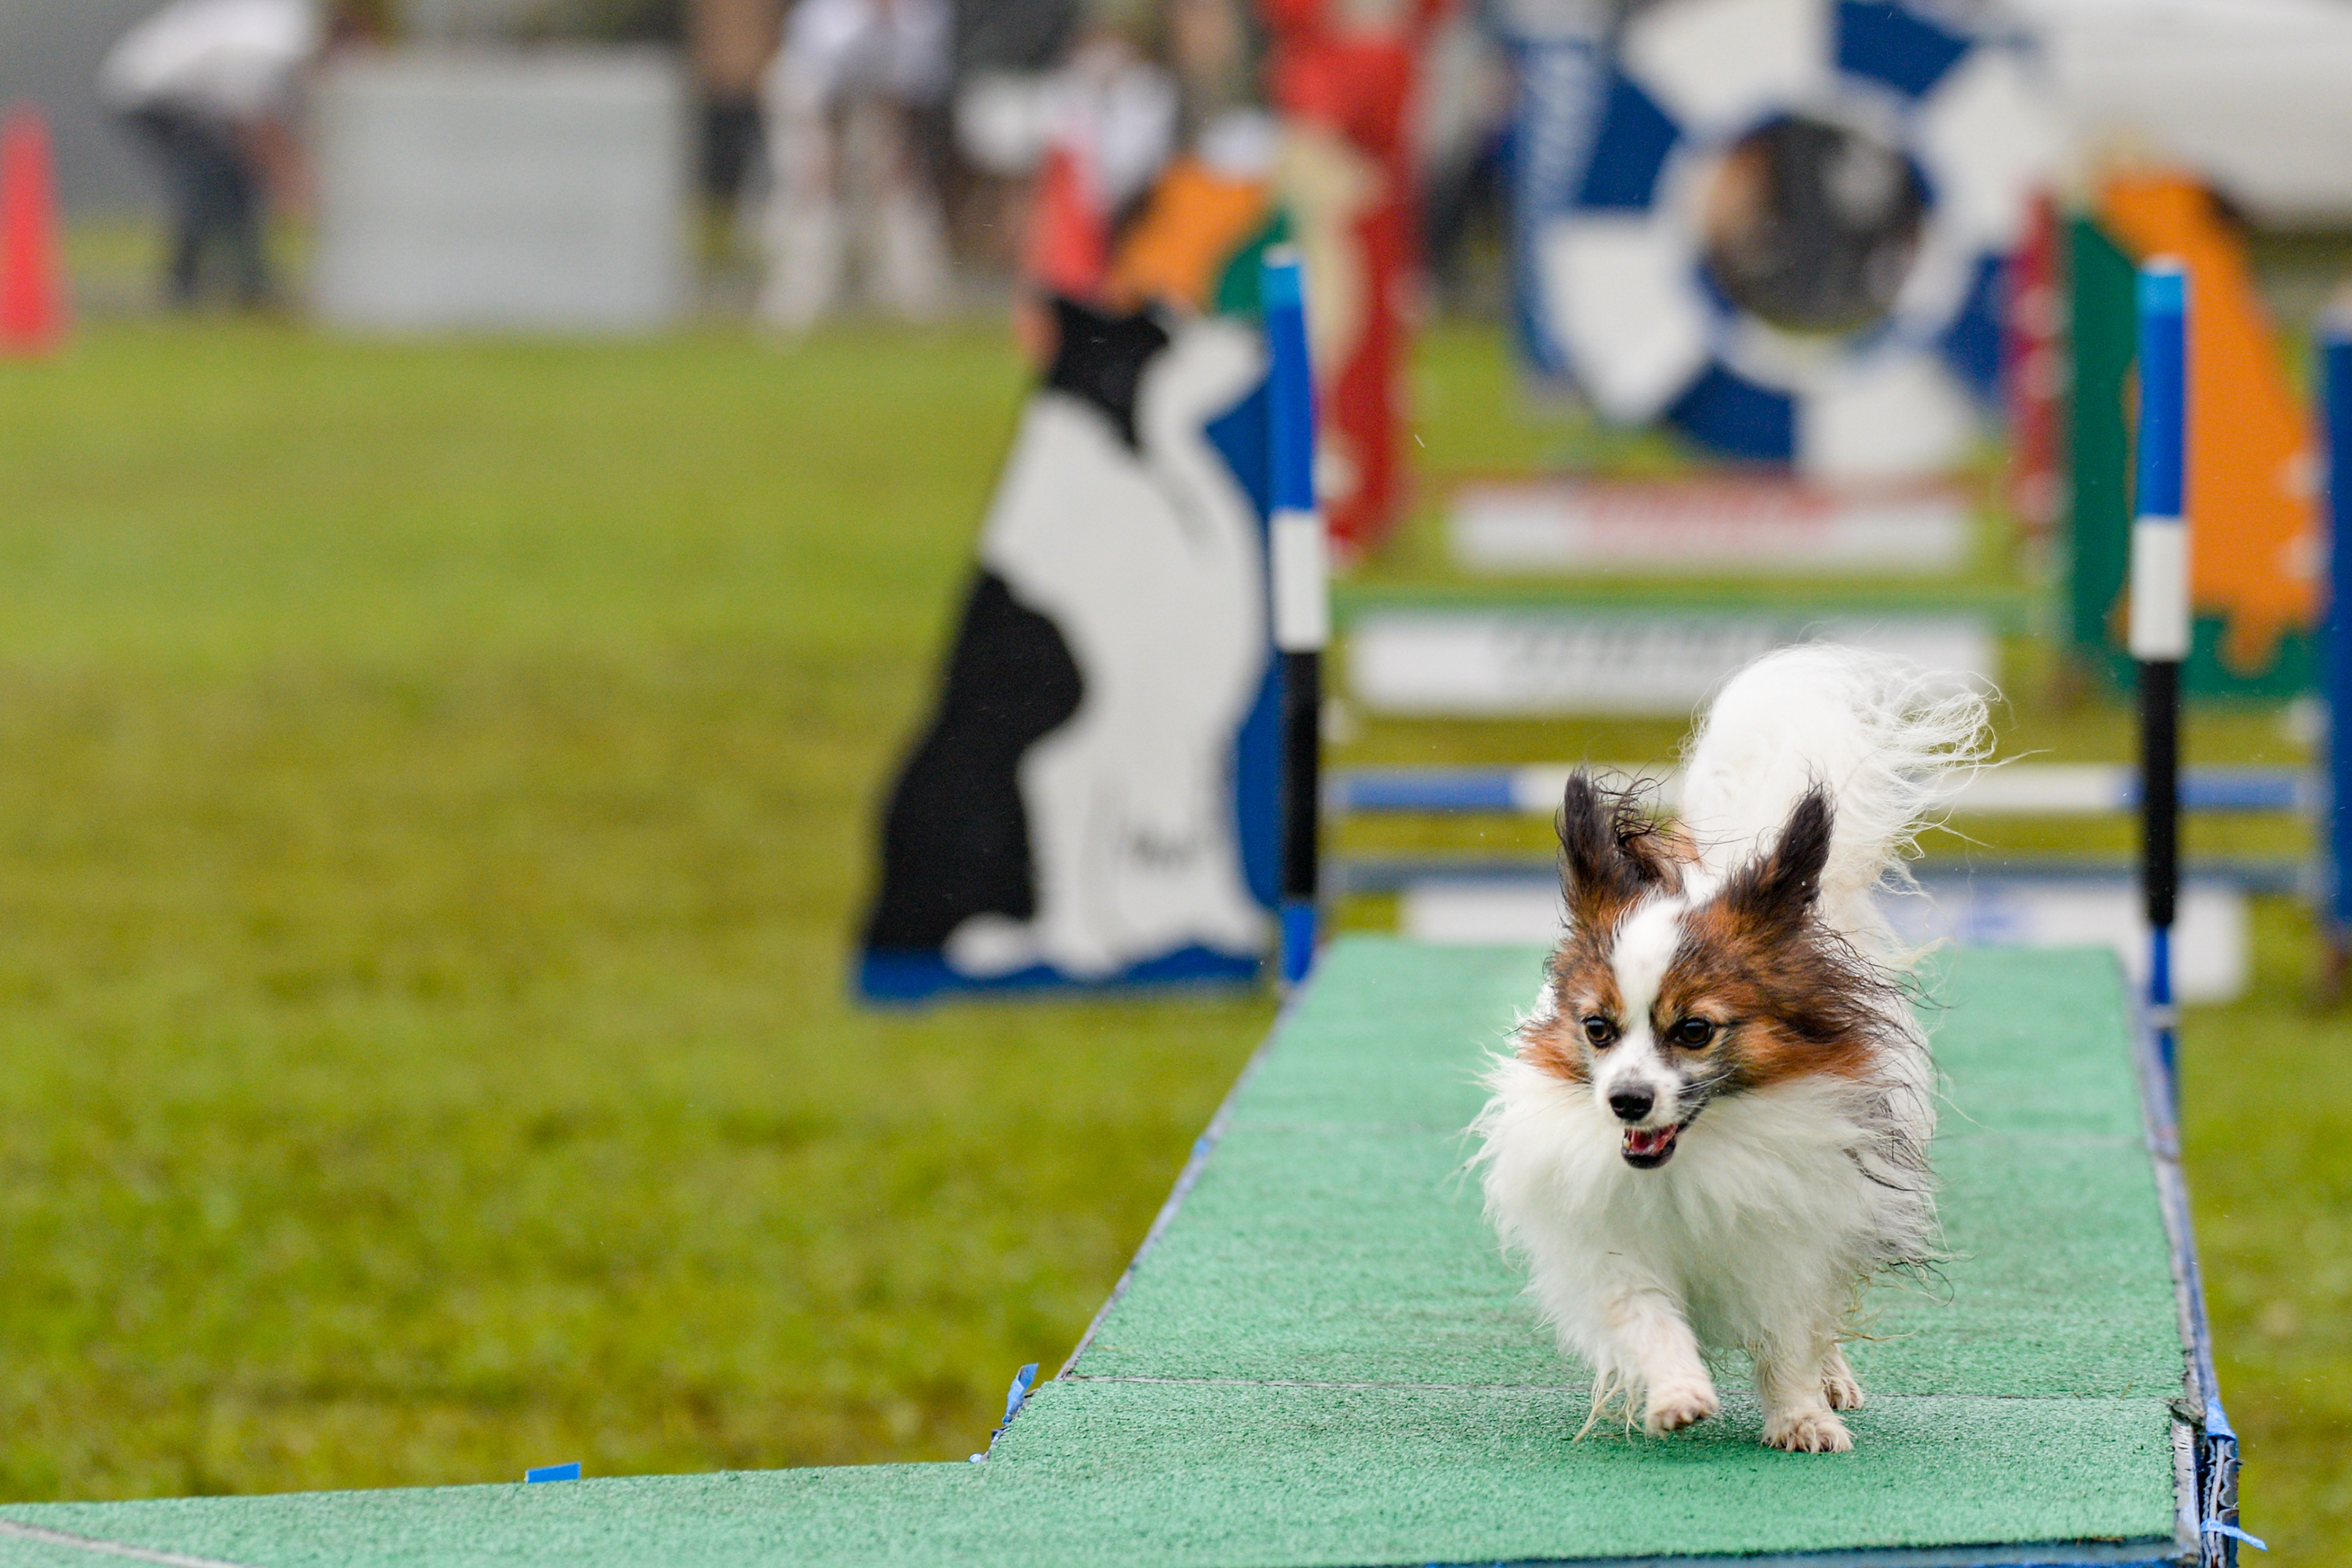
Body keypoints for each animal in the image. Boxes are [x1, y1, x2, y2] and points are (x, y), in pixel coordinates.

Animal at [1472, 644, 1991, 1453]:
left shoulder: (1790, 1244)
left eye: (1695, 1031)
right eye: (1597, 1028)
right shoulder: (1613, 1244)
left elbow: (1790, 1338)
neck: (1699, 1153)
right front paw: (1677, 1394)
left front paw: (1803, 1415)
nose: (1627, 1101)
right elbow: (1647, 1317)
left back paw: (1834, 1382)